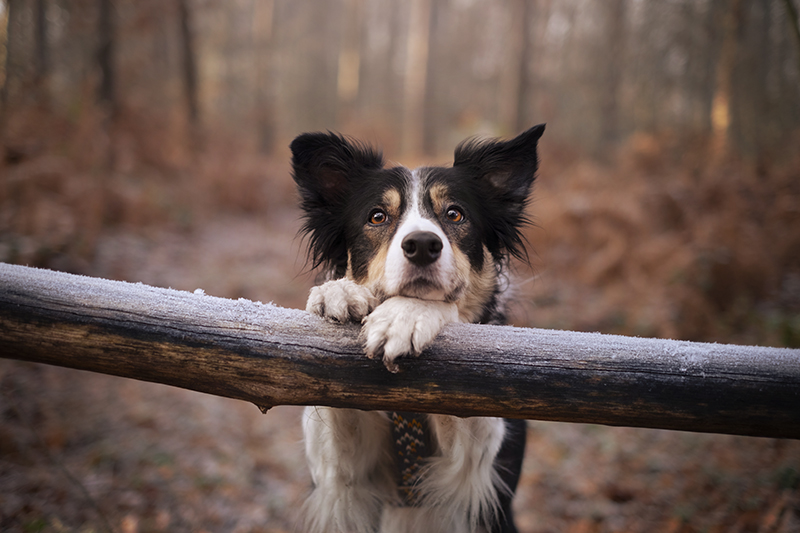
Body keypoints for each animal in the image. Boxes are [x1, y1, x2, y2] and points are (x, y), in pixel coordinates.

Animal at [290, 124, 548, 532]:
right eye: (377, 217)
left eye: (455, 214)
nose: (423, 244)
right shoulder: (341, 480)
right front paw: (339, 291)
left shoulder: (471, 473)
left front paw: (406, 315)